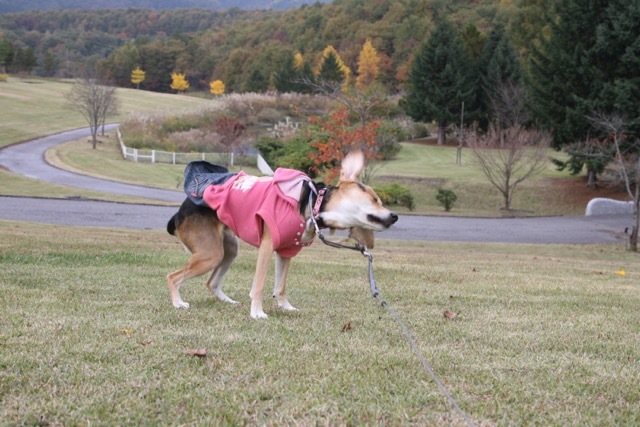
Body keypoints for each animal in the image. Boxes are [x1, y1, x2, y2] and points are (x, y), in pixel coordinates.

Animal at [166, 152, 396, 320]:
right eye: (375, 199)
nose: (395, 216)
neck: (312, 204)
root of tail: (181, 209)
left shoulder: (286, 251)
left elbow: (281, 286)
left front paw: (285, 306)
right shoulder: (268, 246)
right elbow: (259, 285)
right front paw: (257, 313)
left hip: (228, 250)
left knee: (211, 282)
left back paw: (227, 301)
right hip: (210, 254)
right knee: (173, 277)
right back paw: (178, 303)